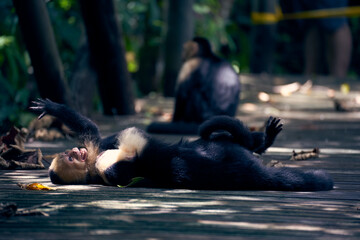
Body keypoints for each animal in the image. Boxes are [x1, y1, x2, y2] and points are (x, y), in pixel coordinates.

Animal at [29, 98, 334, 191]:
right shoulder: (105, 169)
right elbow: (137, 151)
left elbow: (92, 130)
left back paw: (262, 142)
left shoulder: (97, 151)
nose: (75, 151)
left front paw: (52, 108)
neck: (92, 165)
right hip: (229, 163)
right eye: (71, 159)